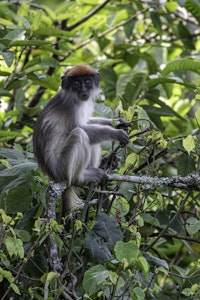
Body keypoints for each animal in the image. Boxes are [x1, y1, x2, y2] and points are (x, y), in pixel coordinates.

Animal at [33, 63, 129, 209]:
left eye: (87, 82)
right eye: (77, 83)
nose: (83, 90)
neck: (75, 98)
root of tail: (53, 175)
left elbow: (88, 121)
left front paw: (118, 123)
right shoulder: (70, 107)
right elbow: (80, 127)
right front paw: (115, 133)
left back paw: (105, 164)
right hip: (62, 167)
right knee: (80, 134)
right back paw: (82, 177)